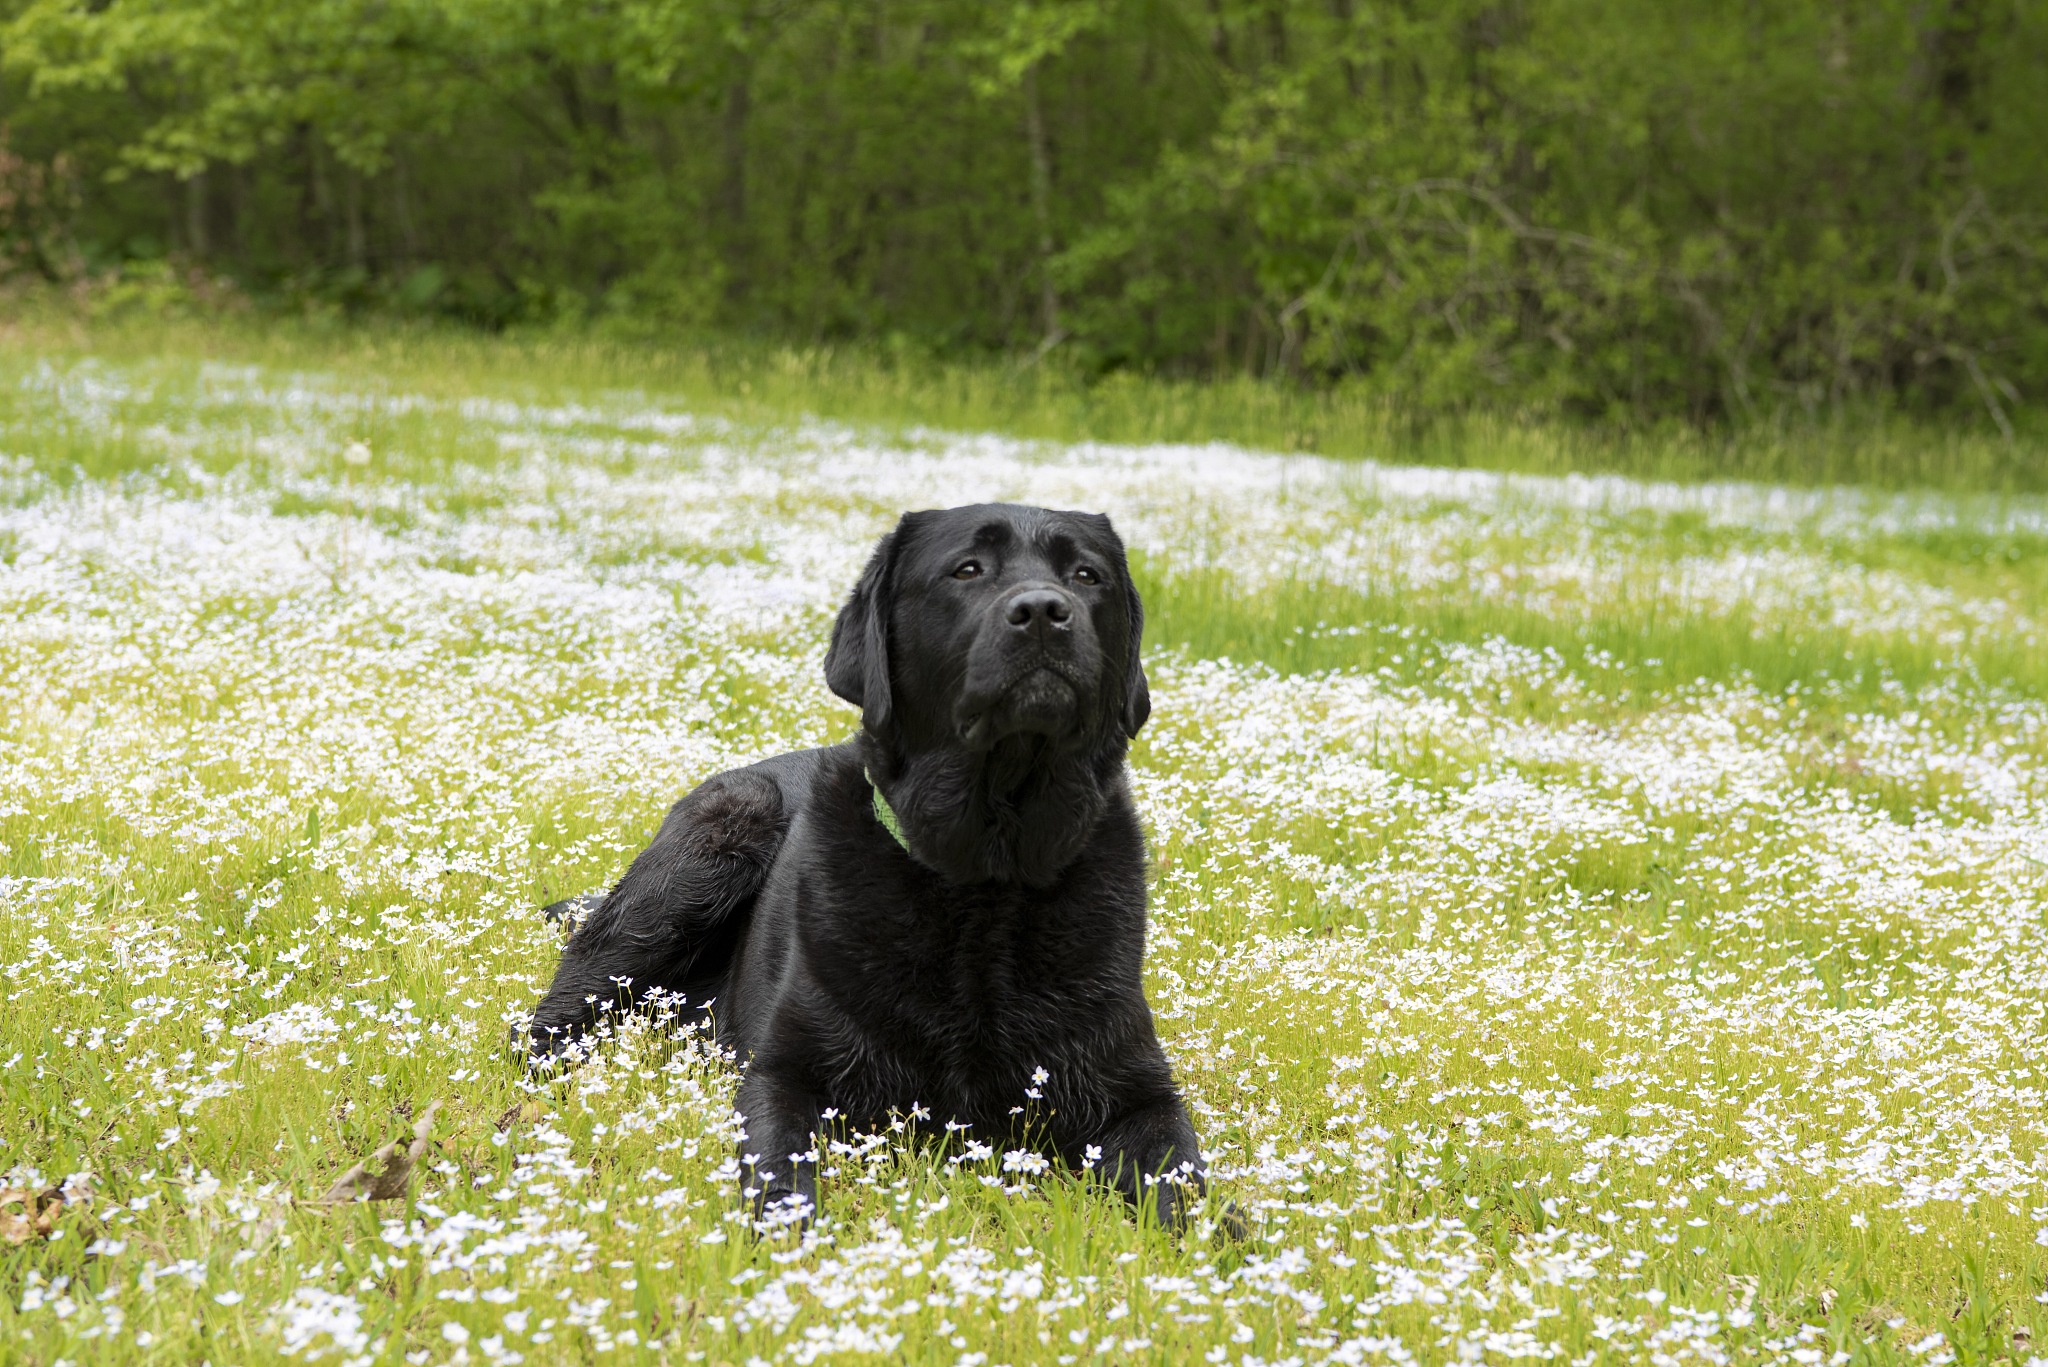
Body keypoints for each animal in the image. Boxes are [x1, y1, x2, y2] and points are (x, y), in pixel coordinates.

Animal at [524, 502, 1212, 1229]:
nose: (1045, 612)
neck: (987, 879)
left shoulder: (1137, 1091)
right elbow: (780, 1173)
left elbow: (1188, 1189)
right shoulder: (788, 1072)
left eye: (1086, 575)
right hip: (721, 833)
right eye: (967, 569)